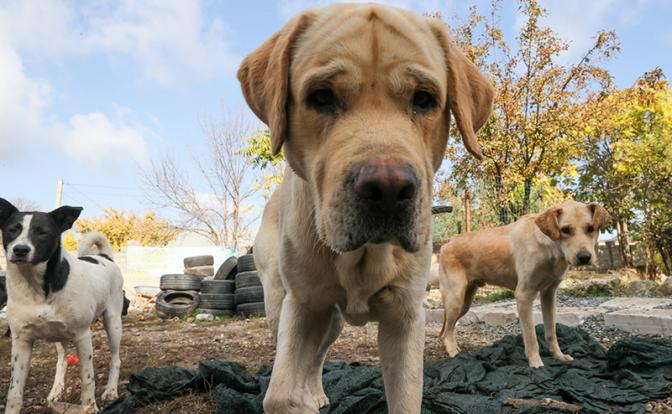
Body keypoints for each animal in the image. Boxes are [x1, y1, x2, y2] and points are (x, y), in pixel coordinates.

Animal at [1, 199, 125, 412]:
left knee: (115, 358)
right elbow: (14, 392)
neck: (37, 287)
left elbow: (88, 379)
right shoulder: (21, 341)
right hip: (58, 334)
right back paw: (56, 391)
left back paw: (110, 390)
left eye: (42, 232)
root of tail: (104, 257)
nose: (20, 250)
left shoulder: (83, 336)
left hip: (113, 322)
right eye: (12, 229)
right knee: (62, 361)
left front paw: (90, 408)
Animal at [236, 4, 494, 414]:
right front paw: (297, 399)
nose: (388, 189)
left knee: (318, 356)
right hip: (281, 302)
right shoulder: (303, 306)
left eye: (424, 99)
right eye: (321, 96)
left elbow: (405, 397)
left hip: (332, 323)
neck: (363, 257)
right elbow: (280, 393)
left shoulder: (405, 318)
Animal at [438, 201, 612, 368]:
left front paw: (558, 356)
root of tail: (445, 245)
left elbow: (551, 332)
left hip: (465, 302)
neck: (549, 248)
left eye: (590, 228)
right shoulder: (524, 296)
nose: (584, 257)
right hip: (456, 299)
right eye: (565, 230)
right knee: (446, 333)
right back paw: (454, 353)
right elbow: (531, 337)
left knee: (446, 330)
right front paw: (536, 365)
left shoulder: (549, 295)